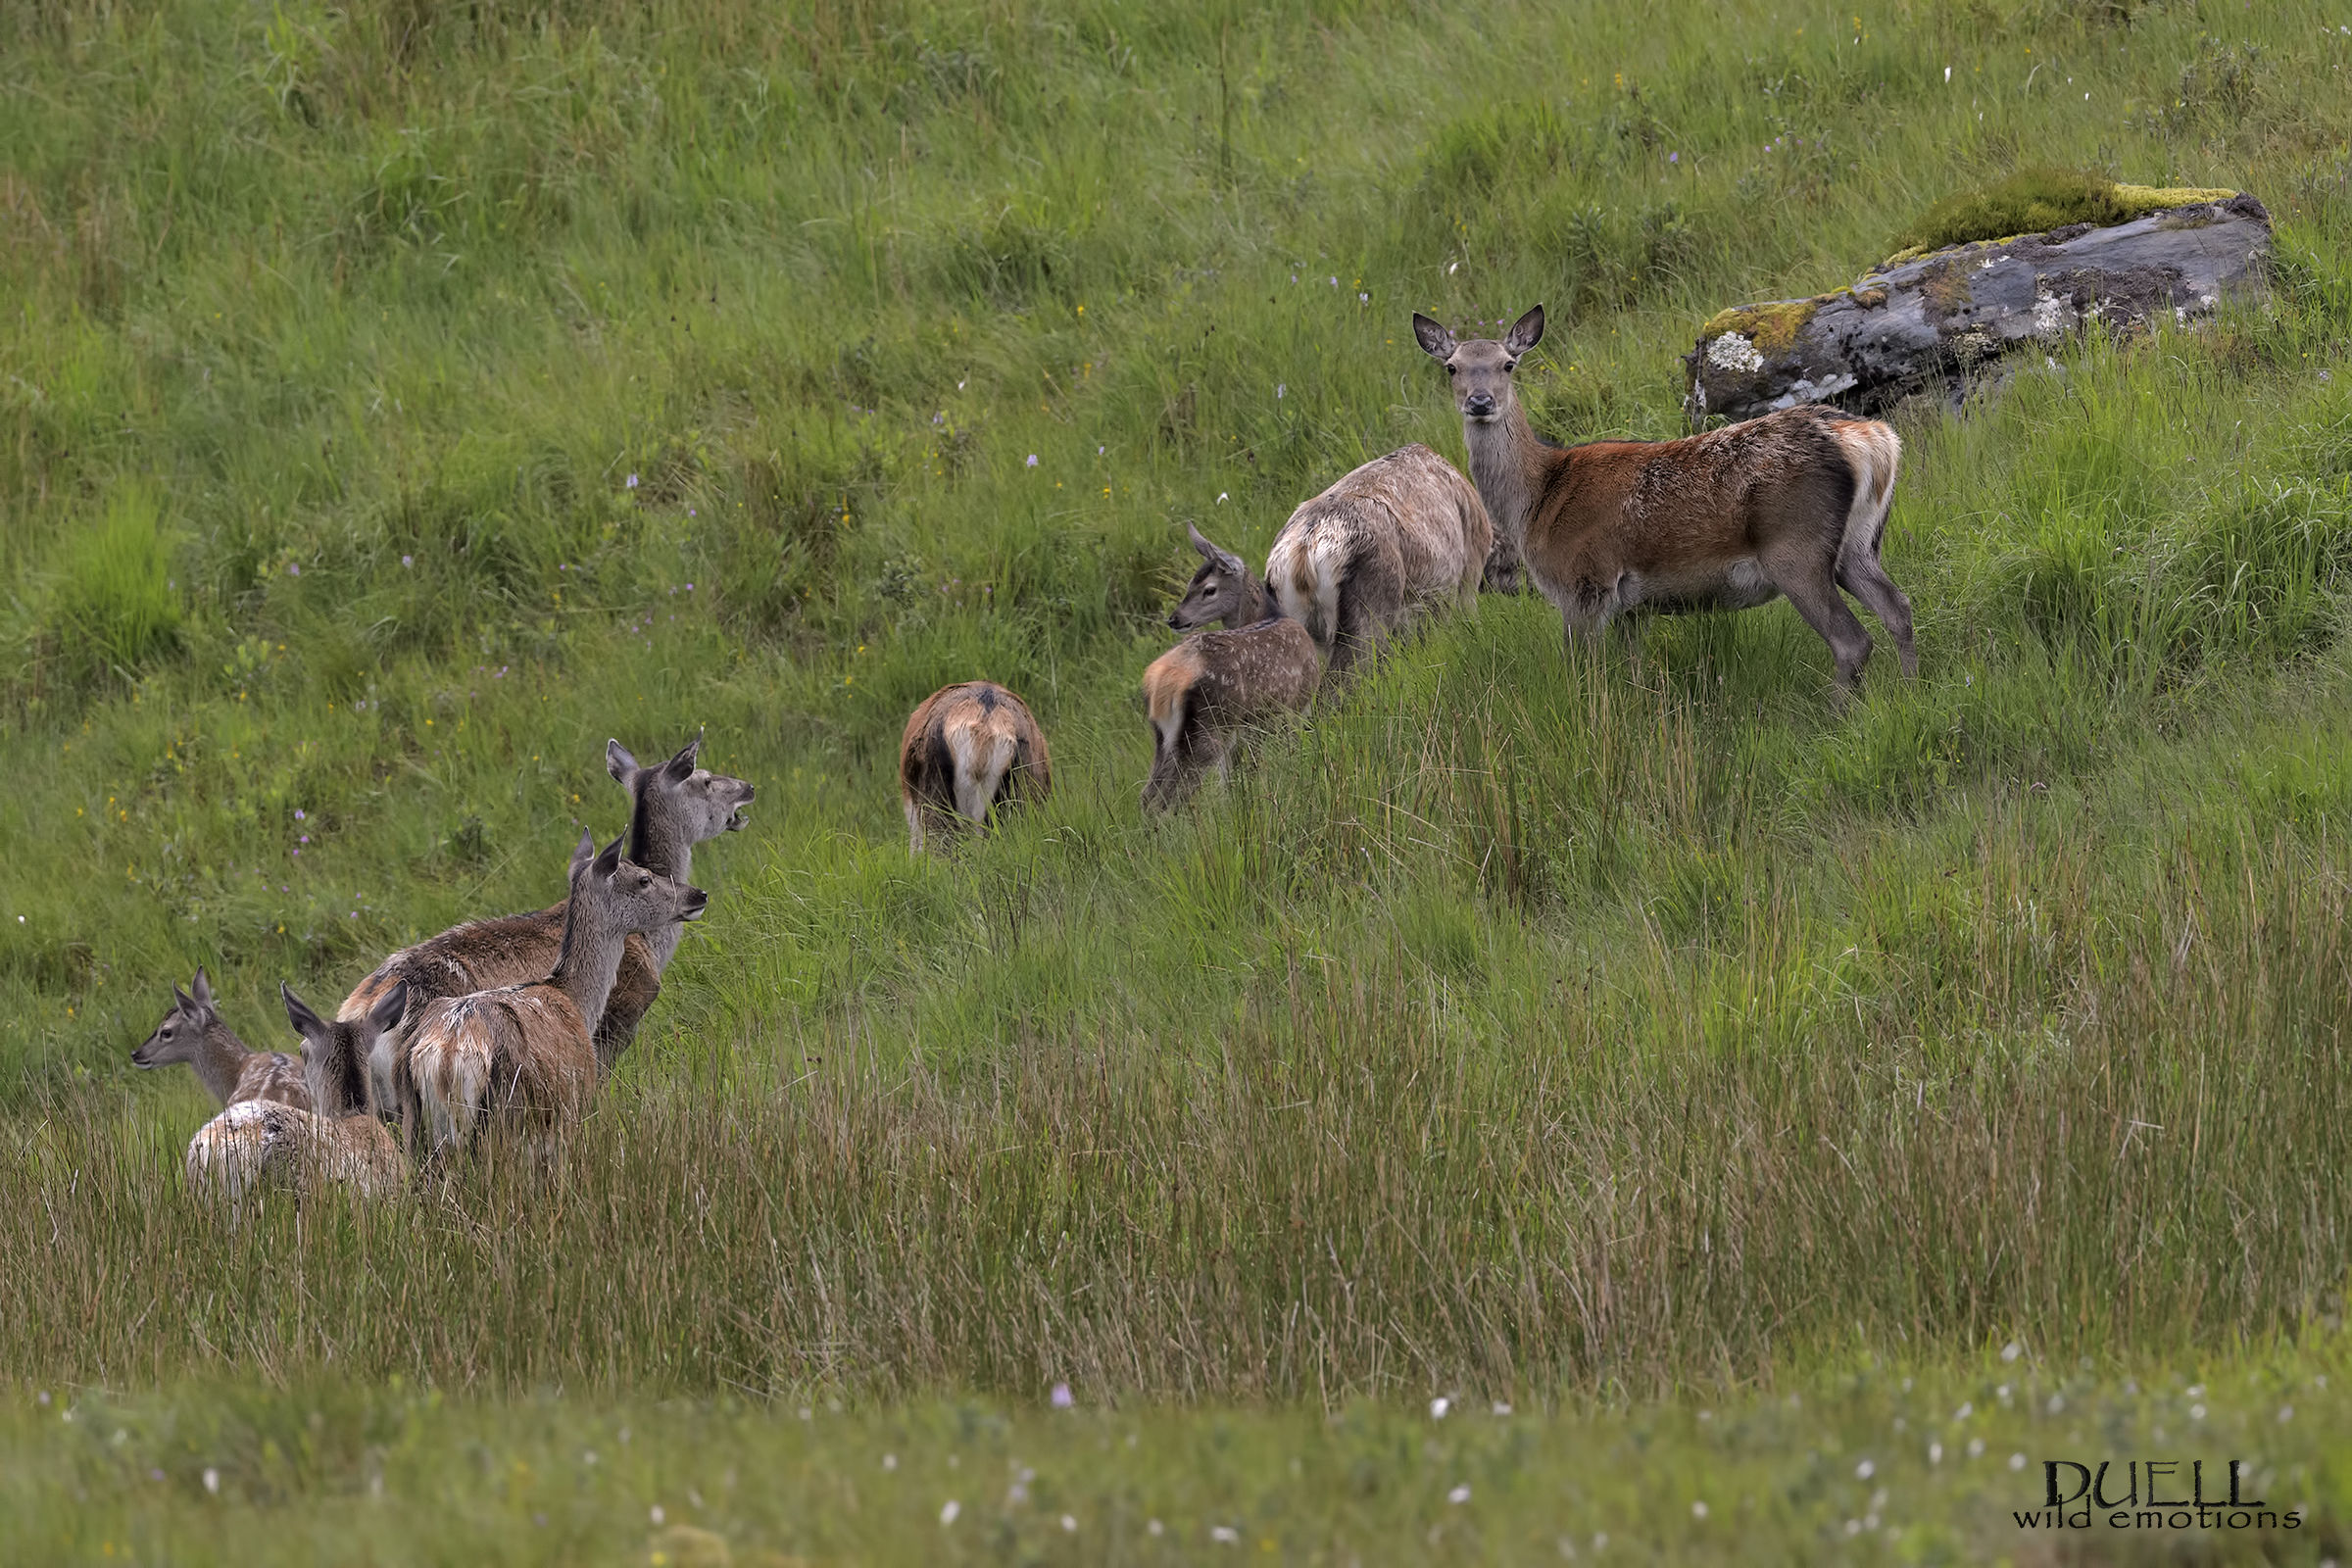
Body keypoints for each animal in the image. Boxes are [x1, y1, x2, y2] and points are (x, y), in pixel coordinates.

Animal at [392, 829, 707, 1159]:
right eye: (644, 878)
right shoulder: (577, 1099)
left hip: (414, 1126)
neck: (577, 1001)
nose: (698, 894)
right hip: (506, 1120)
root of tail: (445, 1056)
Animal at [1143, 524, 1323, 810]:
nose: (1174, 619)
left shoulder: (1250, 725)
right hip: (1210, 724)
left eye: (1208, 589)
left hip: (1164, 734)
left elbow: (1233, 777)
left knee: (1149, 794)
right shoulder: (1295, 707)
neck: (1273, 615)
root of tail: (1164, 679)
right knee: (1173, 795)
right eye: (1191, 585)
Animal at [1414, 305, 1917, 692]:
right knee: (1898, 609)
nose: (1480, 401)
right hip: (1858, 544)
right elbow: (1633, 670)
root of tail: (1871, 438)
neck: (1536, 500)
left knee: (1852, 641)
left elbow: (1581, 671)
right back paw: (1910, 691)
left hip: (1796, 546)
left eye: (1508, 364)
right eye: (1452, 367)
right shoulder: (1631, 607)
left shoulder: (1584, 583)